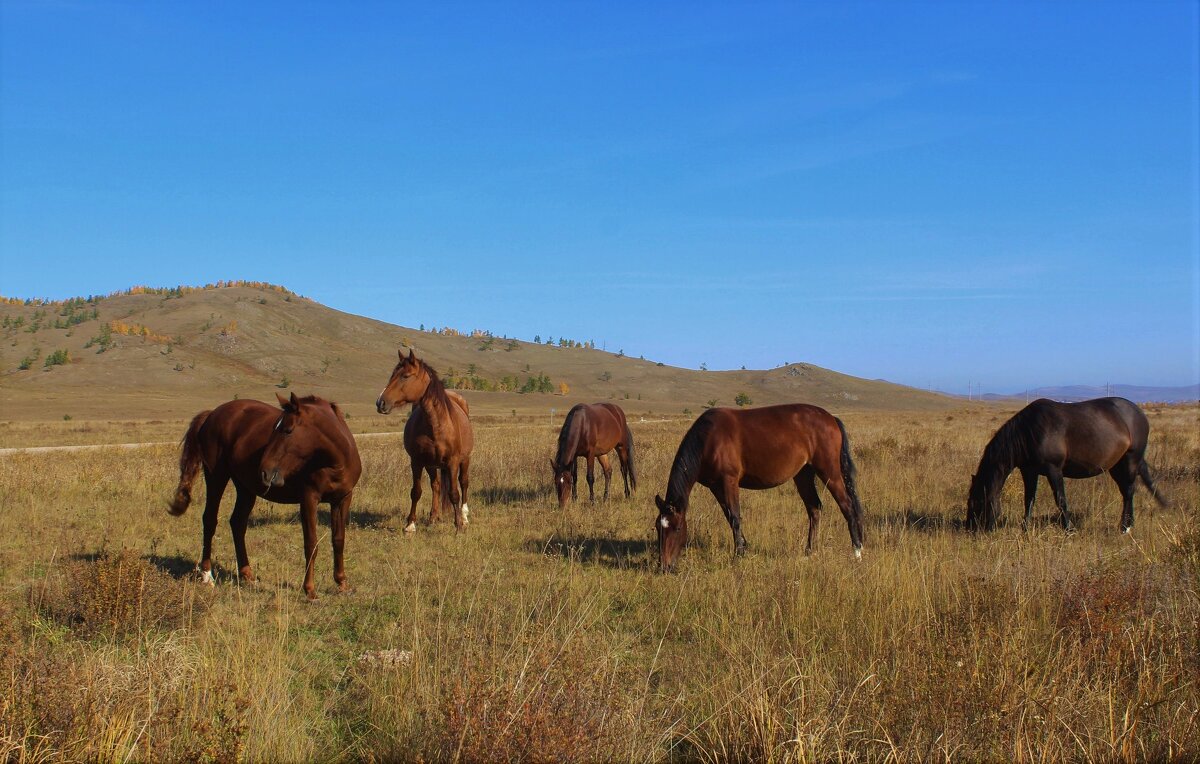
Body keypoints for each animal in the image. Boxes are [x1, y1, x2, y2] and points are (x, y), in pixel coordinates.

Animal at [168, 393, 360, 602]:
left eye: (287, 430)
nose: (264, 471)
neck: (334, 461)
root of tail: (211, 415)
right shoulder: (309, 500)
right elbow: (311, 544)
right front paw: (310, 591)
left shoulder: (343, 499)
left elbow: (338, 540)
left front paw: (342, 583)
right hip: (216, 478)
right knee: (210, 520)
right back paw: (207, 575)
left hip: (246, 488)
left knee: (238, 523)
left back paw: (247, 575)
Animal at [374, 350, 472, 530]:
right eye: (392, 375)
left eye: (405, 376)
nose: (380, 402)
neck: (436, 424)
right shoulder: (417, 462)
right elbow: (416, 492)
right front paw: (410, 525)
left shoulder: (453, 461)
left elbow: (454, 493)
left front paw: (459, 525)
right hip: (432, 465)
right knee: (436, 486)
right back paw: (433, 517)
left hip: (465, 459)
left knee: (463, 483)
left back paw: (464, 516)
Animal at [657, 405, 864, 570]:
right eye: (658, 528)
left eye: (677, 528)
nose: (665, 567)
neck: (709, 439)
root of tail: (831, 418)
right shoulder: (715, 486)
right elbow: (729, 517)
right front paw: (744, 547)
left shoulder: (729, 481)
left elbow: (735, 517)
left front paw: (738, 554)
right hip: (803, 475)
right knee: (814, 508)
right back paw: (809, 552)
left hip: (829, 473)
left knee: (847, 506)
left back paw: (857, 551)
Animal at [964, 395, 1171, 532]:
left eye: (976, 501)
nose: (970, 529)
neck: (1030, 431)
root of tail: (1139, 412)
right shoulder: (1029, 471)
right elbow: (1029, 499)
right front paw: (1025, 528)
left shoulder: (1054, 469)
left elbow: (1060, 499)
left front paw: (1069, 529)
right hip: (1117, 465)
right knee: (1126, 492)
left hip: (1130, 460)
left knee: (1128, 491)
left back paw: (1125, 527)